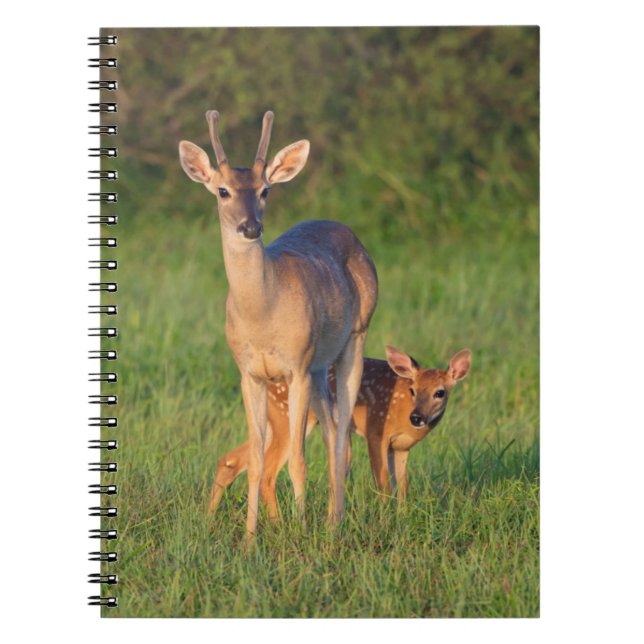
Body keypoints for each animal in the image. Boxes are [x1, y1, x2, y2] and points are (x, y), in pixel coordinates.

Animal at [179, 111, 378, 536]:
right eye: (222, 191)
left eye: (266, 190)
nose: (251, 227)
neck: (262, 317)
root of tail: (349, 232)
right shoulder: (249, 373)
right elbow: (255, 462)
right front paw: (250, 538)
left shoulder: (296, 366)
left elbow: (299, 461)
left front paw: (300, 534)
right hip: (319, 366)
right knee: (333, 431)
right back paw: (332, 520)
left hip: (355, 337)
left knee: (340, 436)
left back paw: (334, 524)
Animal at [208, 346, 471, 517]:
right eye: (413, 389)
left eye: (440, 392)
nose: (417, 417)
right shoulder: (376, 431)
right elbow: (383, 484)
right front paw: (386, 519)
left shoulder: (401, 448)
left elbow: (403, 487)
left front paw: (402, 517)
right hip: (288, 418)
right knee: (268, 472)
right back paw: (277, 524)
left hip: (274, 422)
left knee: (232, 459)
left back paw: (209, 518)